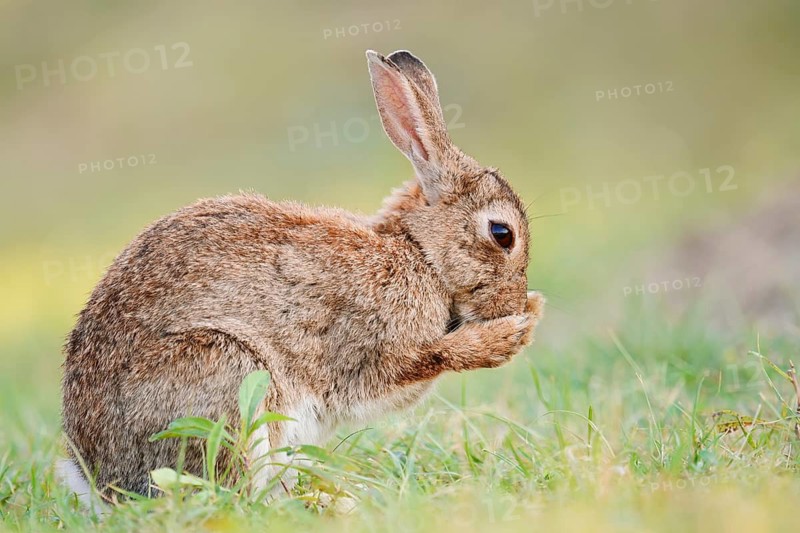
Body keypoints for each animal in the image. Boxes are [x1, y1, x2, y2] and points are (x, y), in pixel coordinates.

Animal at [60, 49, 545, 502]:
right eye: (502, 234)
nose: (514, 301)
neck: (417, 252)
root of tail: (98, 478)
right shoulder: (370, 349)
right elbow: (423, 359)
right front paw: (510, 333)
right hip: (228, 372)